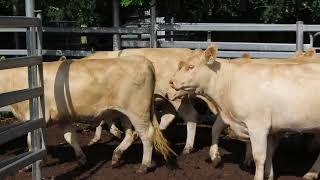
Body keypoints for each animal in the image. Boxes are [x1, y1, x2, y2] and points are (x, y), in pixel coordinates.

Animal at [2, 56, 172, 173]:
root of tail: (142, 60)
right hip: (125, 113)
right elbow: (68, 138)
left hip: (138, 111)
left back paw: (144, 166)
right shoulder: (60, 118)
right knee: (131, 134)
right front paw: (80, 159)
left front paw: (29, 166)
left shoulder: (34, 116)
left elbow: (31, 141)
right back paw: (116, 156)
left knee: (146, 135)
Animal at [169, 44, 320, 180]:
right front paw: (269, 175)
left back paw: (311, 173)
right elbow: (269, 153)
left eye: (191, 67)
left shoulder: (257, 126)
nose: (171, 81)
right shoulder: (269, 129)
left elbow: (259, 157)